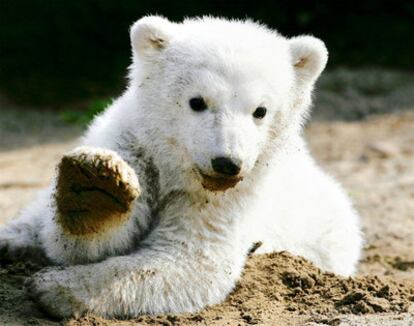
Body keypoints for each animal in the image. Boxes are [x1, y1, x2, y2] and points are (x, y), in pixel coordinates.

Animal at [0, 15, 360, 318]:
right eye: (197, 101)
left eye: (261, 111)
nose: (227, 163)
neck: (175, 166)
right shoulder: (134, 147)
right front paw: (94, 189)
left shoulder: (224, 199)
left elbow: (190, 260)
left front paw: (55, 286)